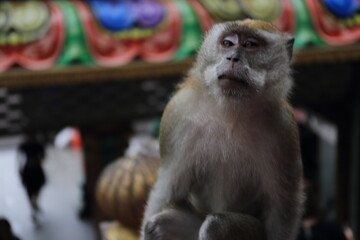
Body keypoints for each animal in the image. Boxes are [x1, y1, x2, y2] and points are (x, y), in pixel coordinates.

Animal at [141, 19, 304, 240]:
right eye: (227, 43)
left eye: (249, 45)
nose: (232, 58)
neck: (230, 109)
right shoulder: (177, 113)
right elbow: (167, 187)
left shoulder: (284, 130)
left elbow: (282, 207)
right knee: (157, 224)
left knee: (215, 225)